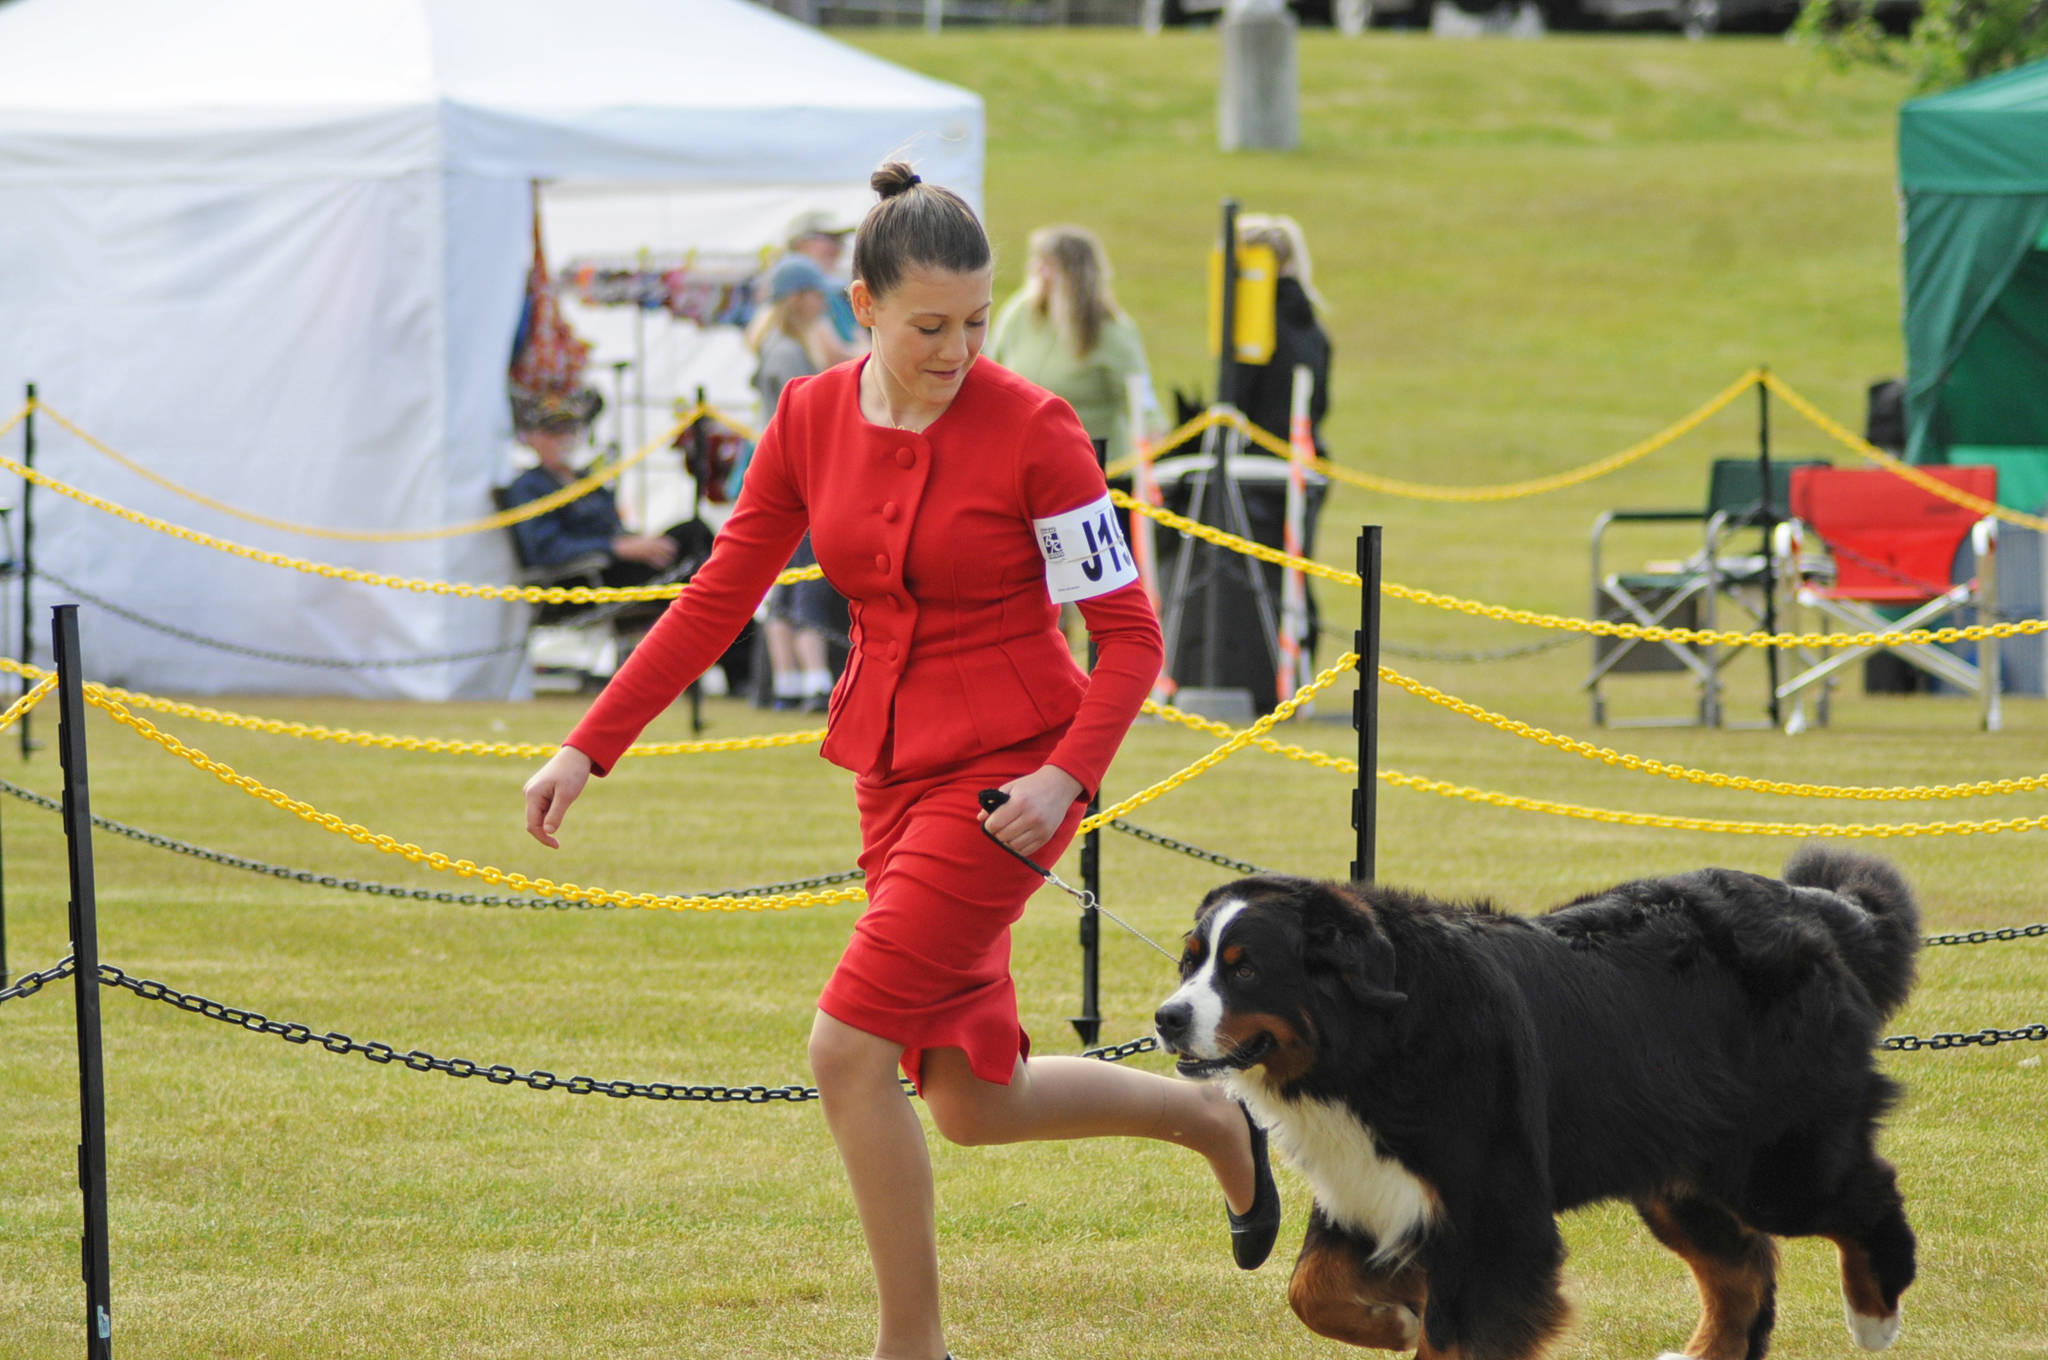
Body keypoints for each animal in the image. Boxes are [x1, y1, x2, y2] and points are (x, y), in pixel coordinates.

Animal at [1155, 843, 1916, 1351]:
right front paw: (1395, 1320)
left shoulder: (1495, 1219)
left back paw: (1873, 1319)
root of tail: (1811, 908)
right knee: (1743, 1269)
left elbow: (1458, 1338)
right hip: (1677, 1172)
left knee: (1867, 1195)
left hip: (1774, 1163)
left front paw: (1405, 1321)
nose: (1167, 1018)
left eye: (1245, 969)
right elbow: (1309, 1288)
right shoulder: (1369, 1187)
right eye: (1189, 962)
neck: (1375, 1045)